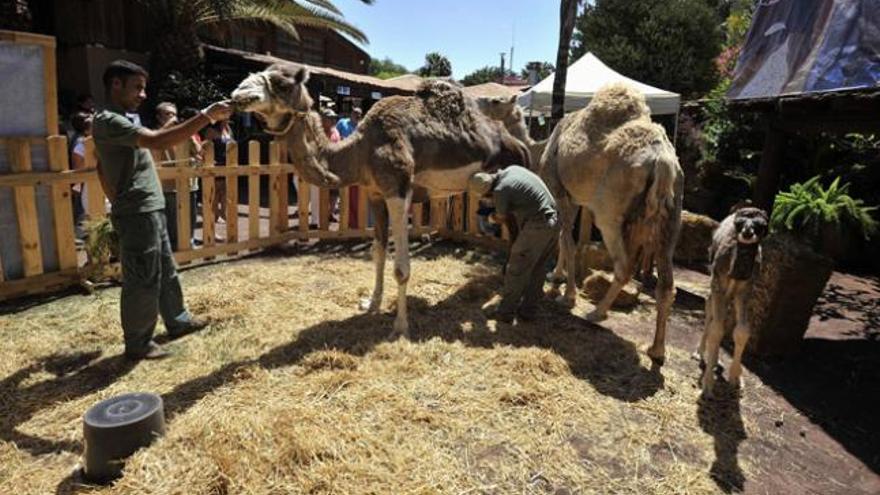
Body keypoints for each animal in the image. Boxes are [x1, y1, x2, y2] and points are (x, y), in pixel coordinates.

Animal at [230, 64, 528, 340]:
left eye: (281, 83)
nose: (238, 94)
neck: (360, 150)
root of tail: (522, 145)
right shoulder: (374, 193)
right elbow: (378, 252)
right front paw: (371, 303)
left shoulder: (398, 191)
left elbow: (401, 269)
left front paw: (400, 328)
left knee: (517, 234)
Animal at [540, 83, 684, 364]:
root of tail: (662, 162)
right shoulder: (576, 198)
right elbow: (564, 238)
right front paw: (556, 277)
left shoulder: (560, 191)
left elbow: (567, 241)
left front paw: (568, 296)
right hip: (672, 216)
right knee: (666, 284)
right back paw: (657, 350)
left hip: (609, 213)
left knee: (624, 265)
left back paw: (596, 313)